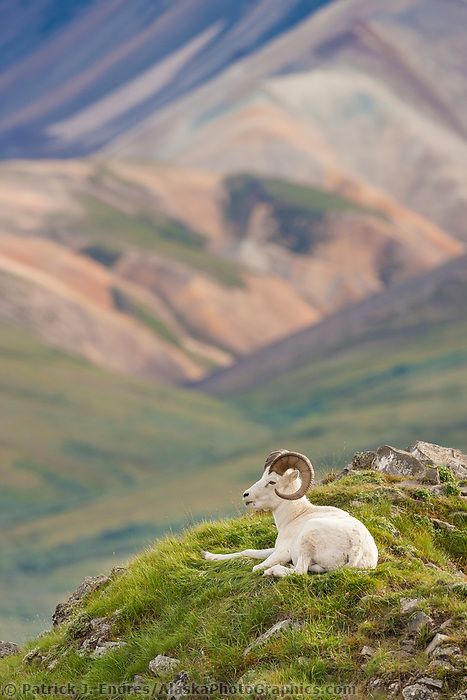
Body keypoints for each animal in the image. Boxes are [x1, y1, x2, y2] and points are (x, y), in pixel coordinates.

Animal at [203, 452, 378, 576]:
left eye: (272, 481)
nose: (246, 495)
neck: (295, 516)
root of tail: (356, 547)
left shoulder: (282, 552)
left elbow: (256, 566)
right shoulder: (274, 549)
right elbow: (247, 552)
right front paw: (208, 556)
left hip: (307, 539)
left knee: (299, 572)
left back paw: (273, 571)